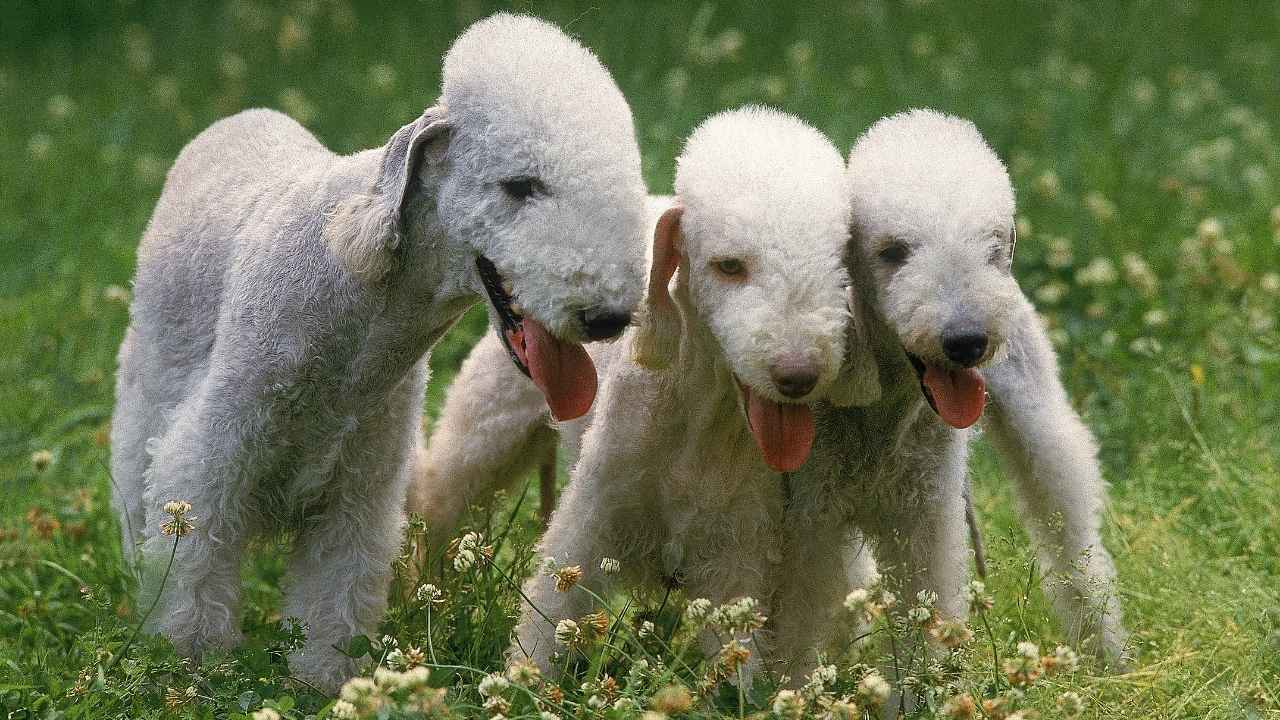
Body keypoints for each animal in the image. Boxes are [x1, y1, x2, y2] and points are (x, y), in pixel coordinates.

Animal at [107, 14, 650, 686]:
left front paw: (322, 686)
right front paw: (193, 677)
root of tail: (235, 121)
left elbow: (334, 603)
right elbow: (195, 590)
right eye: (520, 186)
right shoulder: (211, 466)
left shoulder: (360, 495)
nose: (608, 317)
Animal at [504, 107, 875, 676]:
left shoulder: (738, 551)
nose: (798, 376)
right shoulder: (593, 518)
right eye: (729, 266)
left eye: (838, 264)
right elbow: (547, 617)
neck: (705, 418)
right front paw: (519, 682)